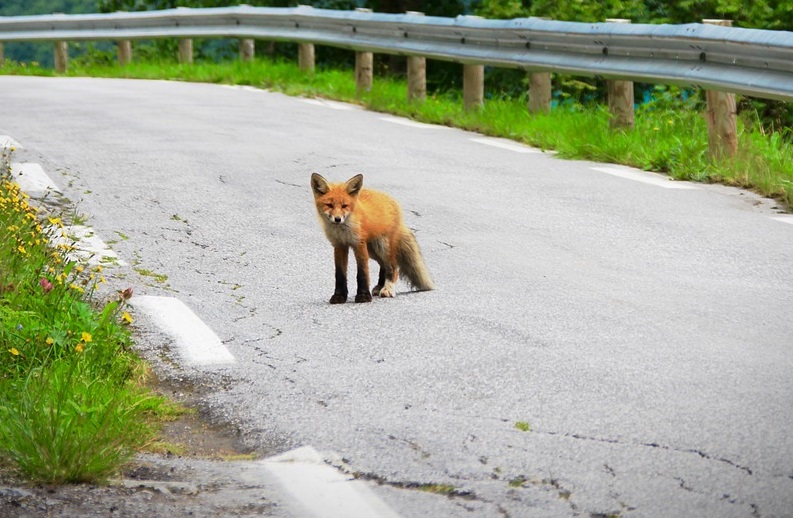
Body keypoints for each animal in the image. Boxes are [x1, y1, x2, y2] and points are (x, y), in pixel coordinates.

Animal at [310, 175, 434, 304]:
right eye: (329, 205)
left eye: (344, 206)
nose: (338, 219)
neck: (343, 230)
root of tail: (392, 200)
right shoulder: (339, 245)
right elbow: (340, 274)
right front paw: (339, 296)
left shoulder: (359, 244)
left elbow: (362, 272)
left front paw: (363, 296)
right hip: (372, 250)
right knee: (383, 266)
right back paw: (380, 286)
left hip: (382, 246)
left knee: (393, 266)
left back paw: (388, 289)